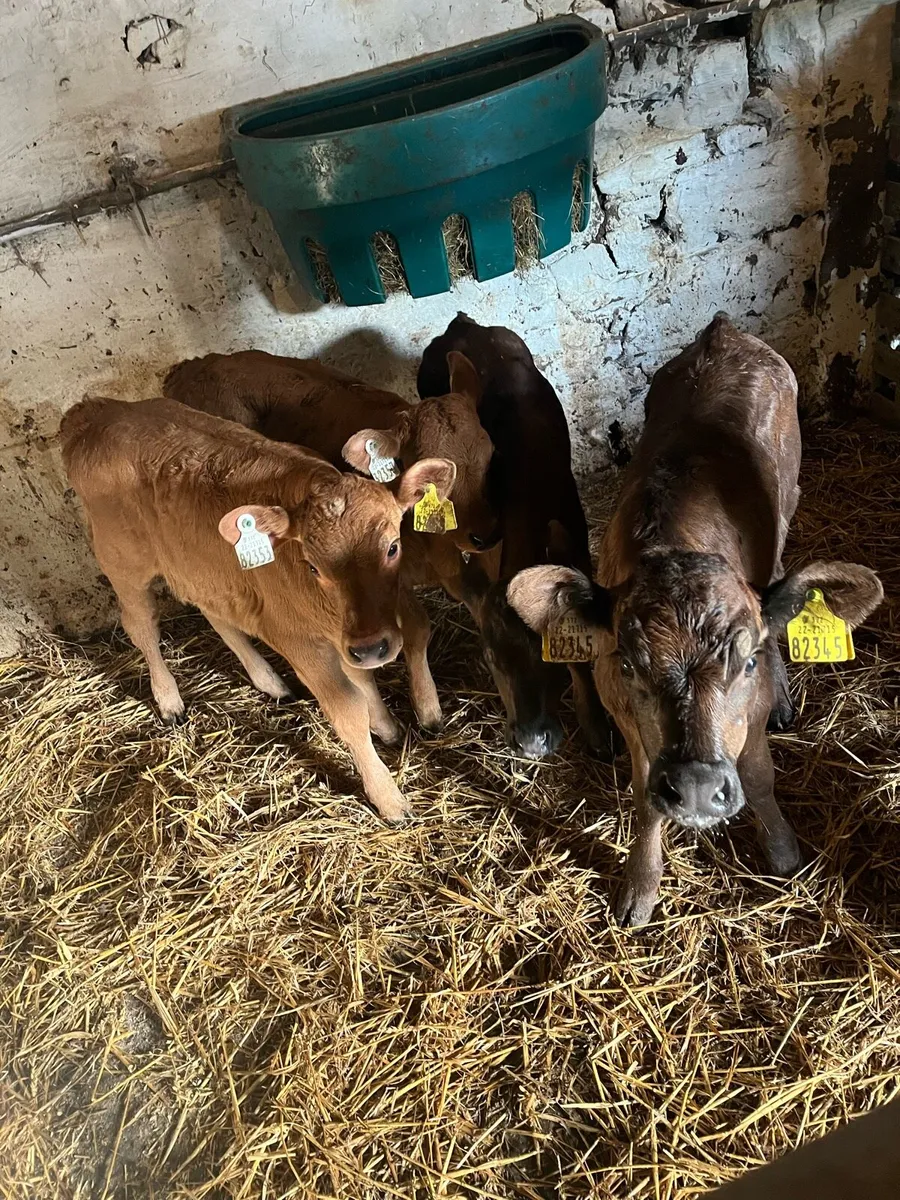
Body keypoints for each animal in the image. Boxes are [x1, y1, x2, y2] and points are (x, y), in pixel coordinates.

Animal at [60, 395, 456, 824]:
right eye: (313, 566)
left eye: (392, 547)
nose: (373, 649)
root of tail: (96, 410)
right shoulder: (298, 639)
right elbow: (348, 708)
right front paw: (387, 795)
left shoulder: (352, 628)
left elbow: (379, 659)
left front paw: (392, 722)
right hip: (123, 564)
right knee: (142, 626)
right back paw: (169, 701)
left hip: (201, 569)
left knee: (218, 618)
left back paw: (269, 681)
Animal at [417, 313, 617, 760]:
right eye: (491, 658)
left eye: (547, 651)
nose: (531, 741)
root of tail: (463, 322)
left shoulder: (574, 537)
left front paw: (596, 723)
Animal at [508, 314, 884, 925]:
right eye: (629, 665)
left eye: (747, 662)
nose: (699, 789)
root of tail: (722, 331)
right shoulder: (628, 715)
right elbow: (644, 797)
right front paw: (640, 885)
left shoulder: (749, 714)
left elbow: (758, 777)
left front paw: (783, 852)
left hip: (787, 508)